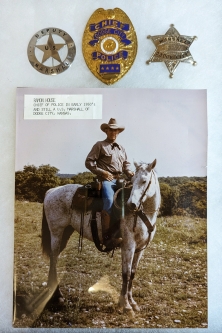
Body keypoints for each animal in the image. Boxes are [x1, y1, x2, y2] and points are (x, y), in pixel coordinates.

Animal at [41, 158, 160, 314]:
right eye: (133, 180)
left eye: (144, 181)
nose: (131, 204)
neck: (144, 213)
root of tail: (51, 191)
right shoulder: (128, 246)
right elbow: (126, 273)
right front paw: (125, 305)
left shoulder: (140, 249)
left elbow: (133, 273)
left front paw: (132, 302)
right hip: (56, 232)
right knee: (54, 258)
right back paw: (58, 295)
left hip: (66, 232)